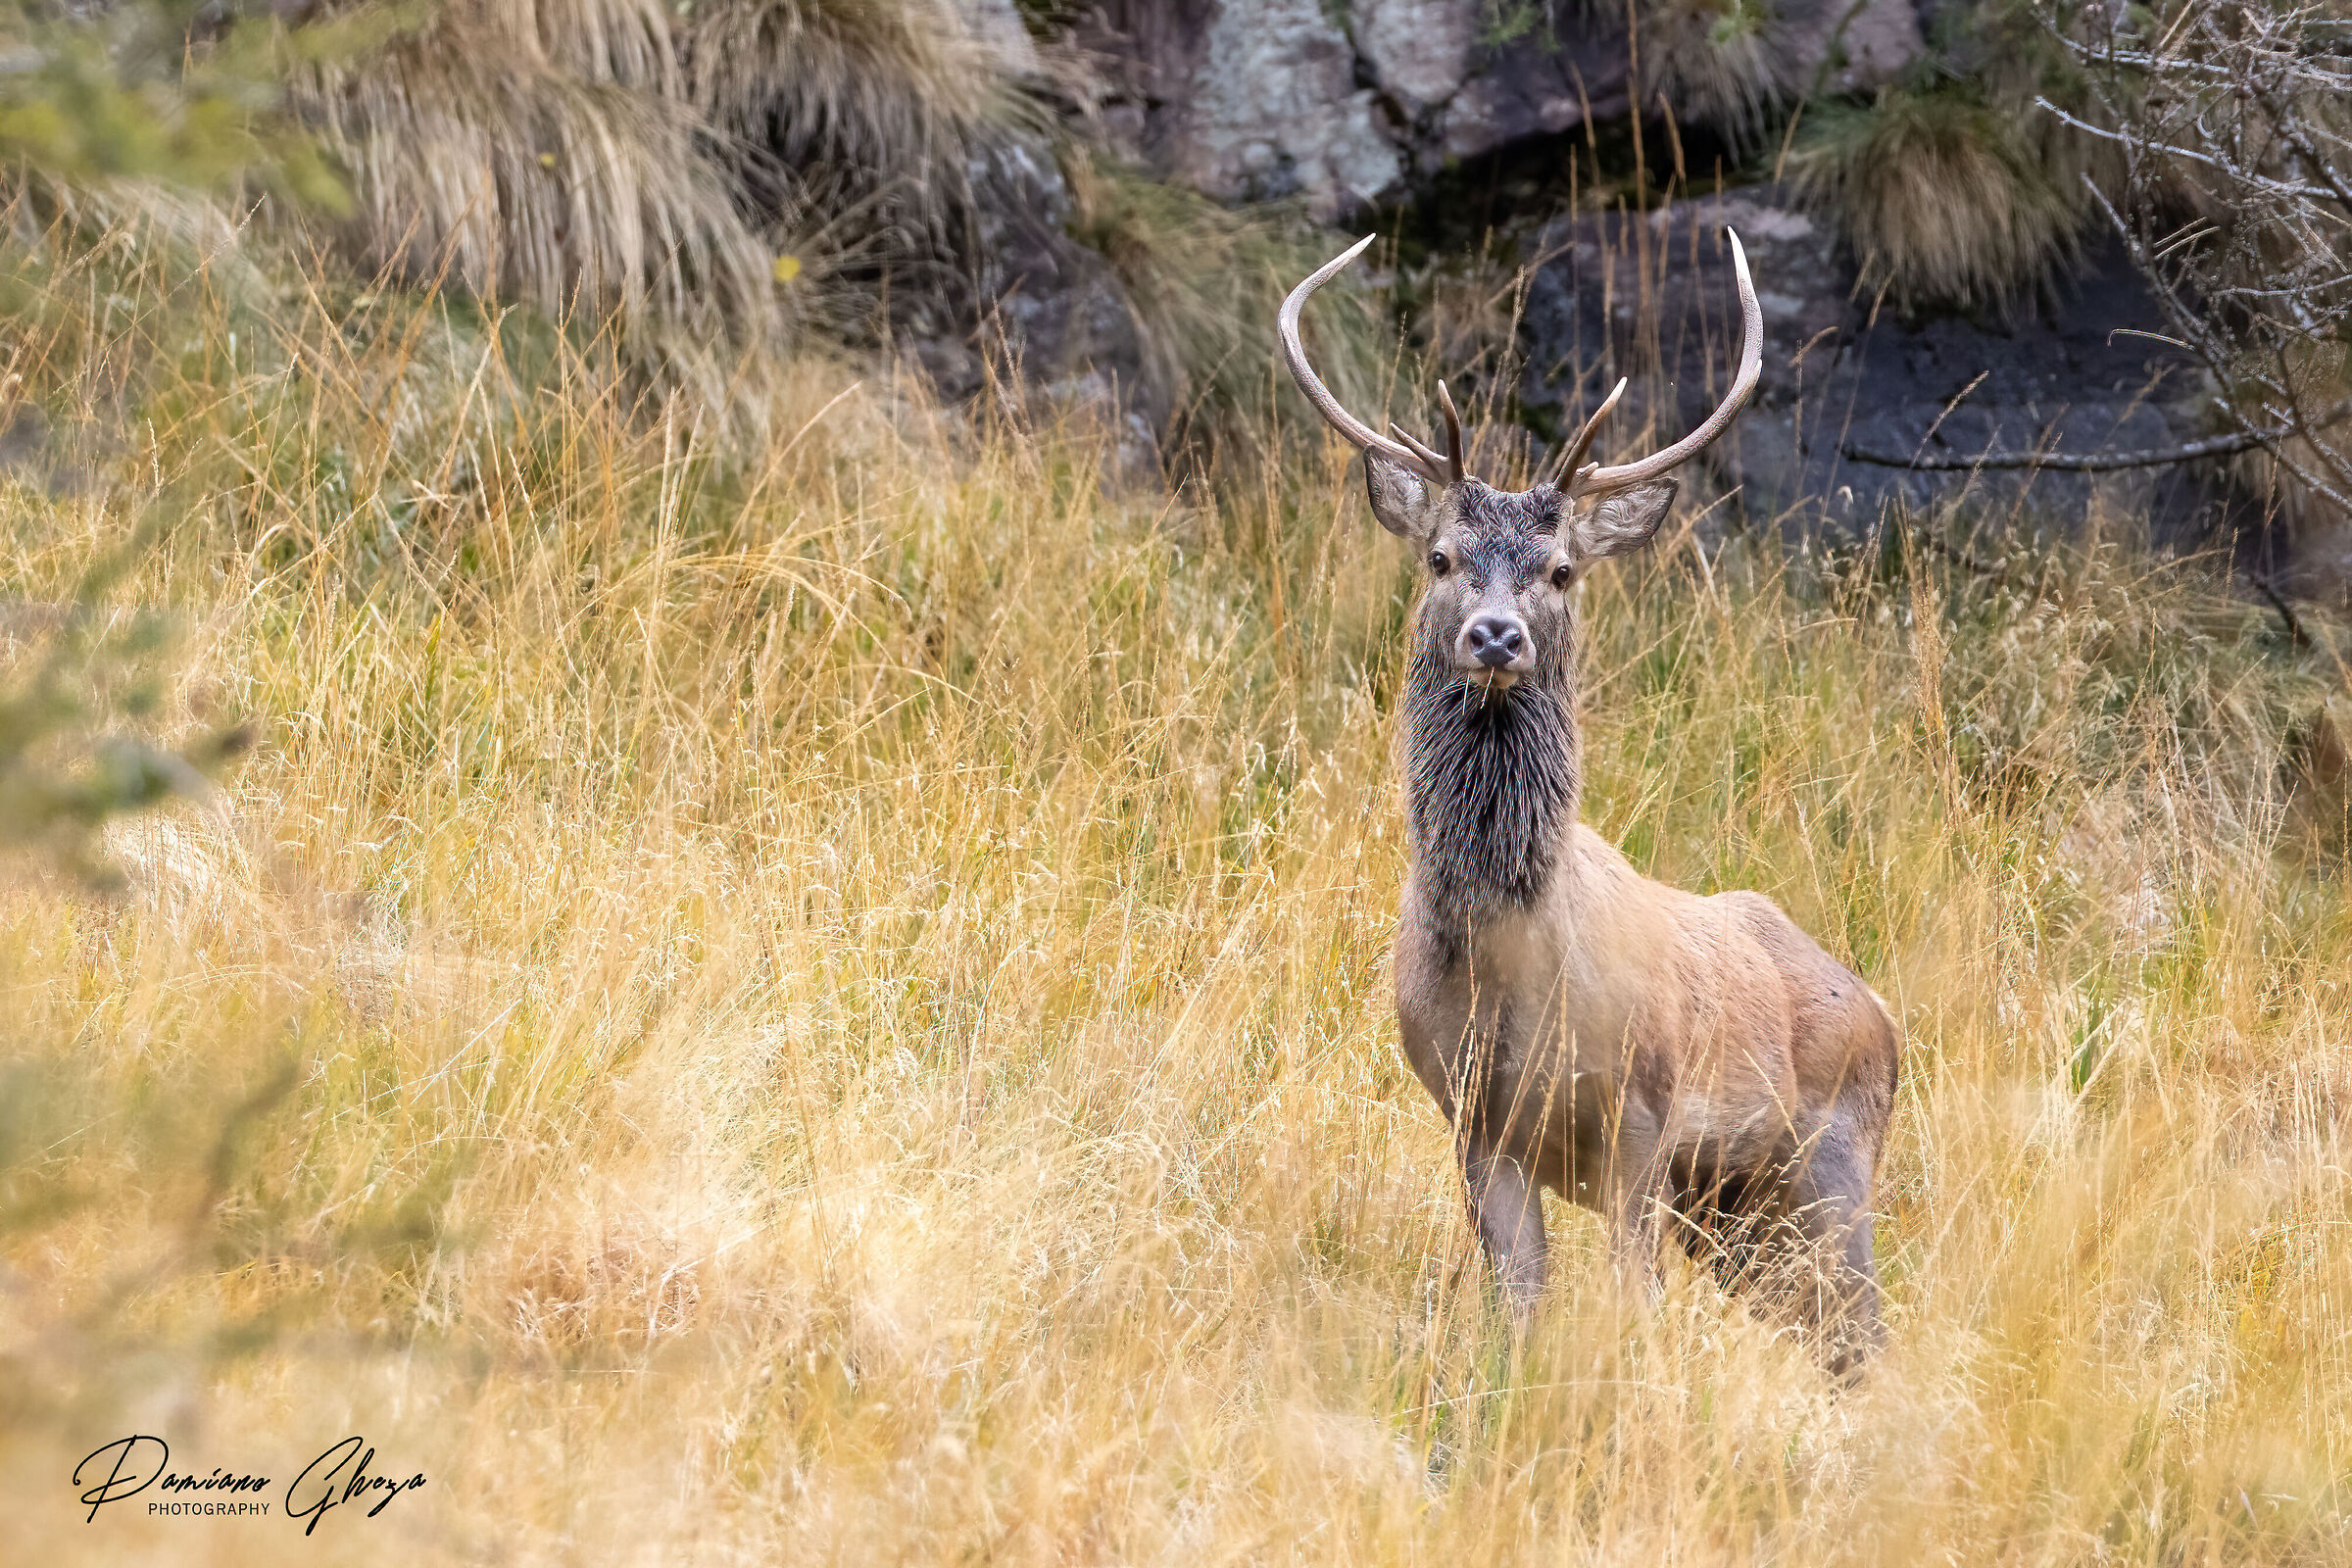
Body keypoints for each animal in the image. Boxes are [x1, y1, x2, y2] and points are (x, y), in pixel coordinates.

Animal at [1281, 230, 1900, 1373]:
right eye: (1441, 557)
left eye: (1562, 570)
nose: (1495, 634)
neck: (1509, 971)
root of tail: (1886, 1017)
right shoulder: (1473, 1121)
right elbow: (1519, 1308)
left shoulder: (1642, 1117)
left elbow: (1631, 1303)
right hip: (1739, 1217)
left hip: (1831, 1163)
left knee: (1864, 1337)